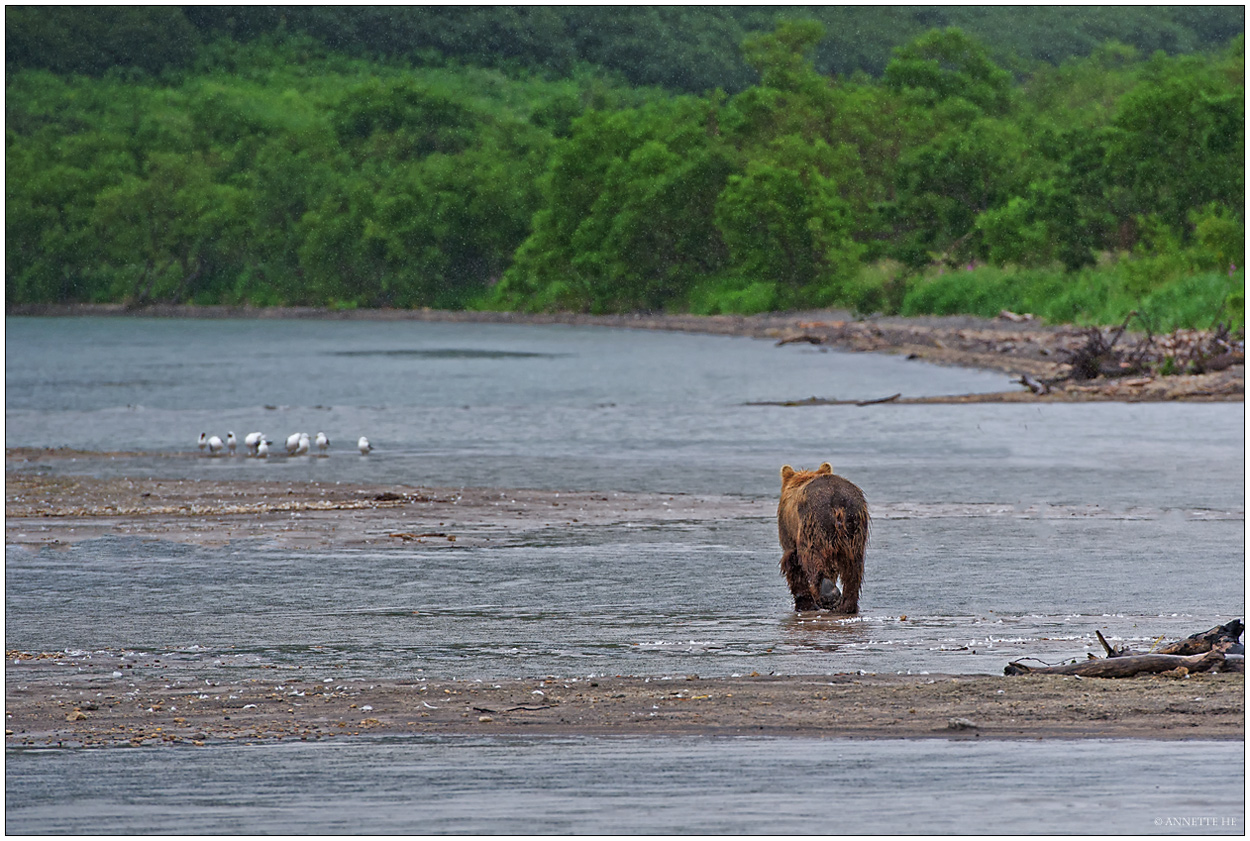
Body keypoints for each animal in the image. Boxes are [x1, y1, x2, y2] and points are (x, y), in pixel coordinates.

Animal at [775, 462, 865, 612]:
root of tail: (837, 499)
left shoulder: (789, 532)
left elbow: (793, 562)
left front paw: (804, 603)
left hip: (814, 524)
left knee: (813, 558)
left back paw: (828, 595)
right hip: (855, 527)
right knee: (853, 568)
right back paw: (847, 605)